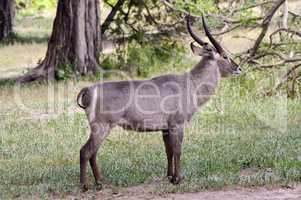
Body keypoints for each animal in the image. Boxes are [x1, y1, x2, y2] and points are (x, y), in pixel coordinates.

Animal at [77, 15, 241, 191]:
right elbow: (178, 150)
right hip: (102, 127)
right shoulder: (177, 124)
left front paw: (170, 176)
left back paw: (100, 182)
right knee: (85, 151)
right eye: (224, 56)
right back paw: (85, 185)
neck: (191, 83)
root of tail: (89, 89)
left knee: (92, 153)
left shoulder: (165, 128)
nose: (239, 68)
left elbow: (168, 151)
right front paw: (178, 179)